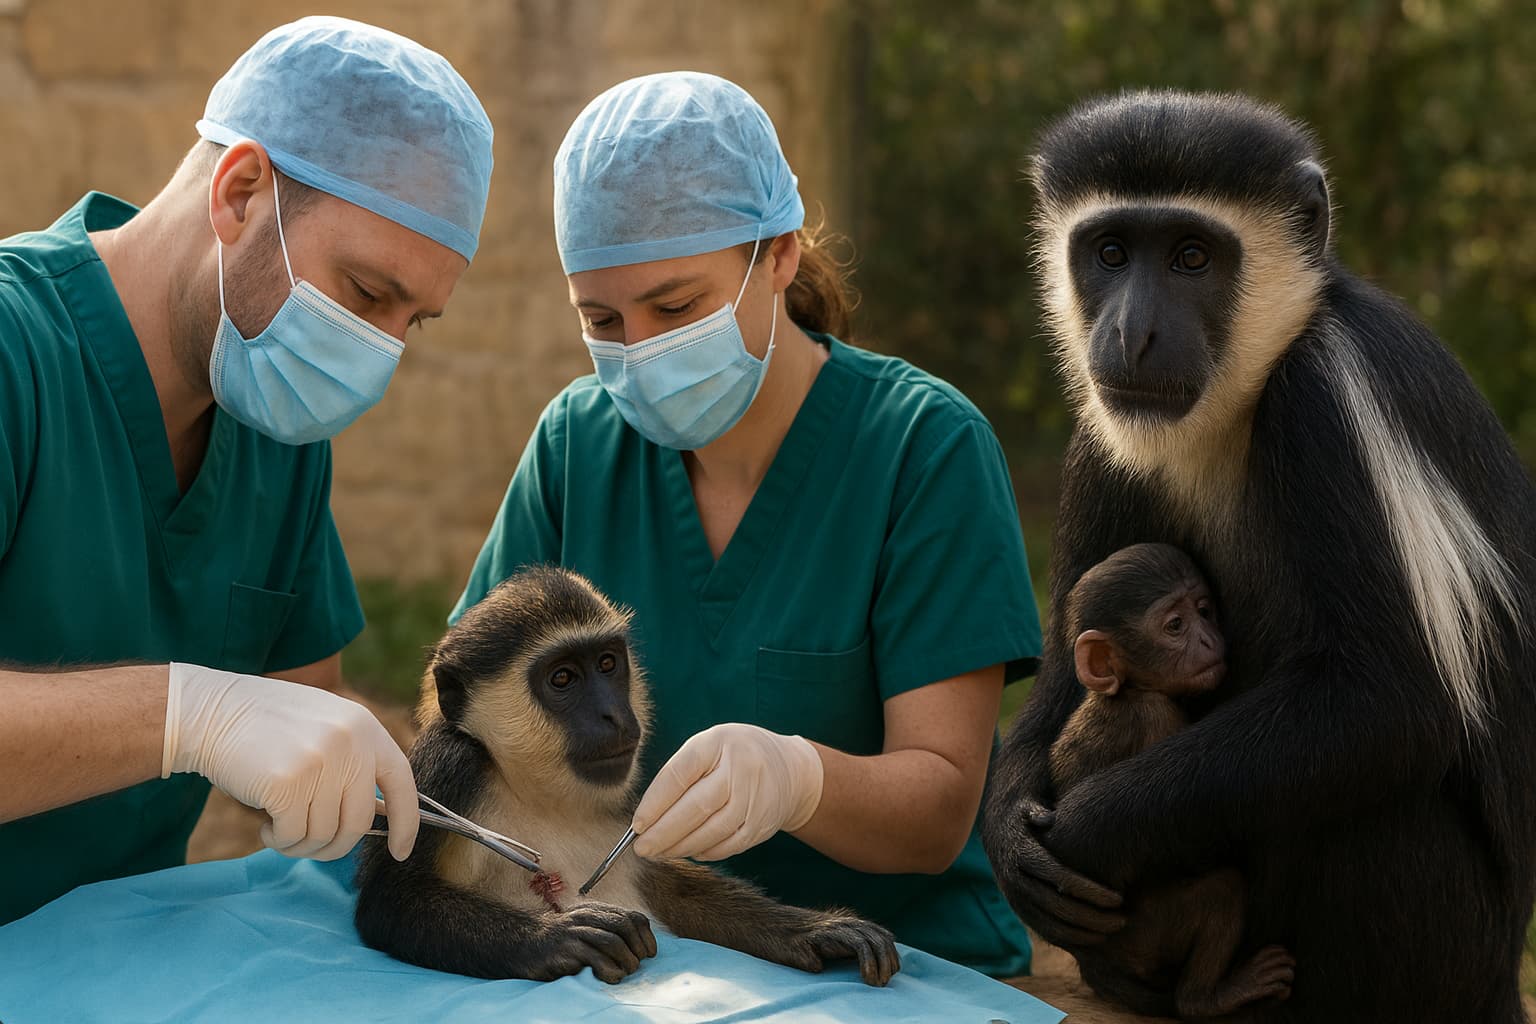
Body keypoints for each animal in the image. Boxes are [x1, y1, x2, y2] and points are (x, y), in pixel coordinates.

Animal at [354, 565, 899, 987]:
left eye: (608, 663)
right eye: (563, 678)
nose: (615, 715)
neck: (535, 794)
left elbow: (668, 887)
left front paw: (814, 930)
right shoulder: (449, 768)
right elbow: (389, 902)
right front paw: (559, 936)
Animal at [1046, 543, 1294, 1021]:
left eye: (1204, 610)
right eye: (1175, 626)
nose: (1209, 639)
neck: (1130, 691)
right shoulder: (1156, 716)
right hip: (1152, 935)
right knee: (1221, 892)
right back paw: (1205, 997)